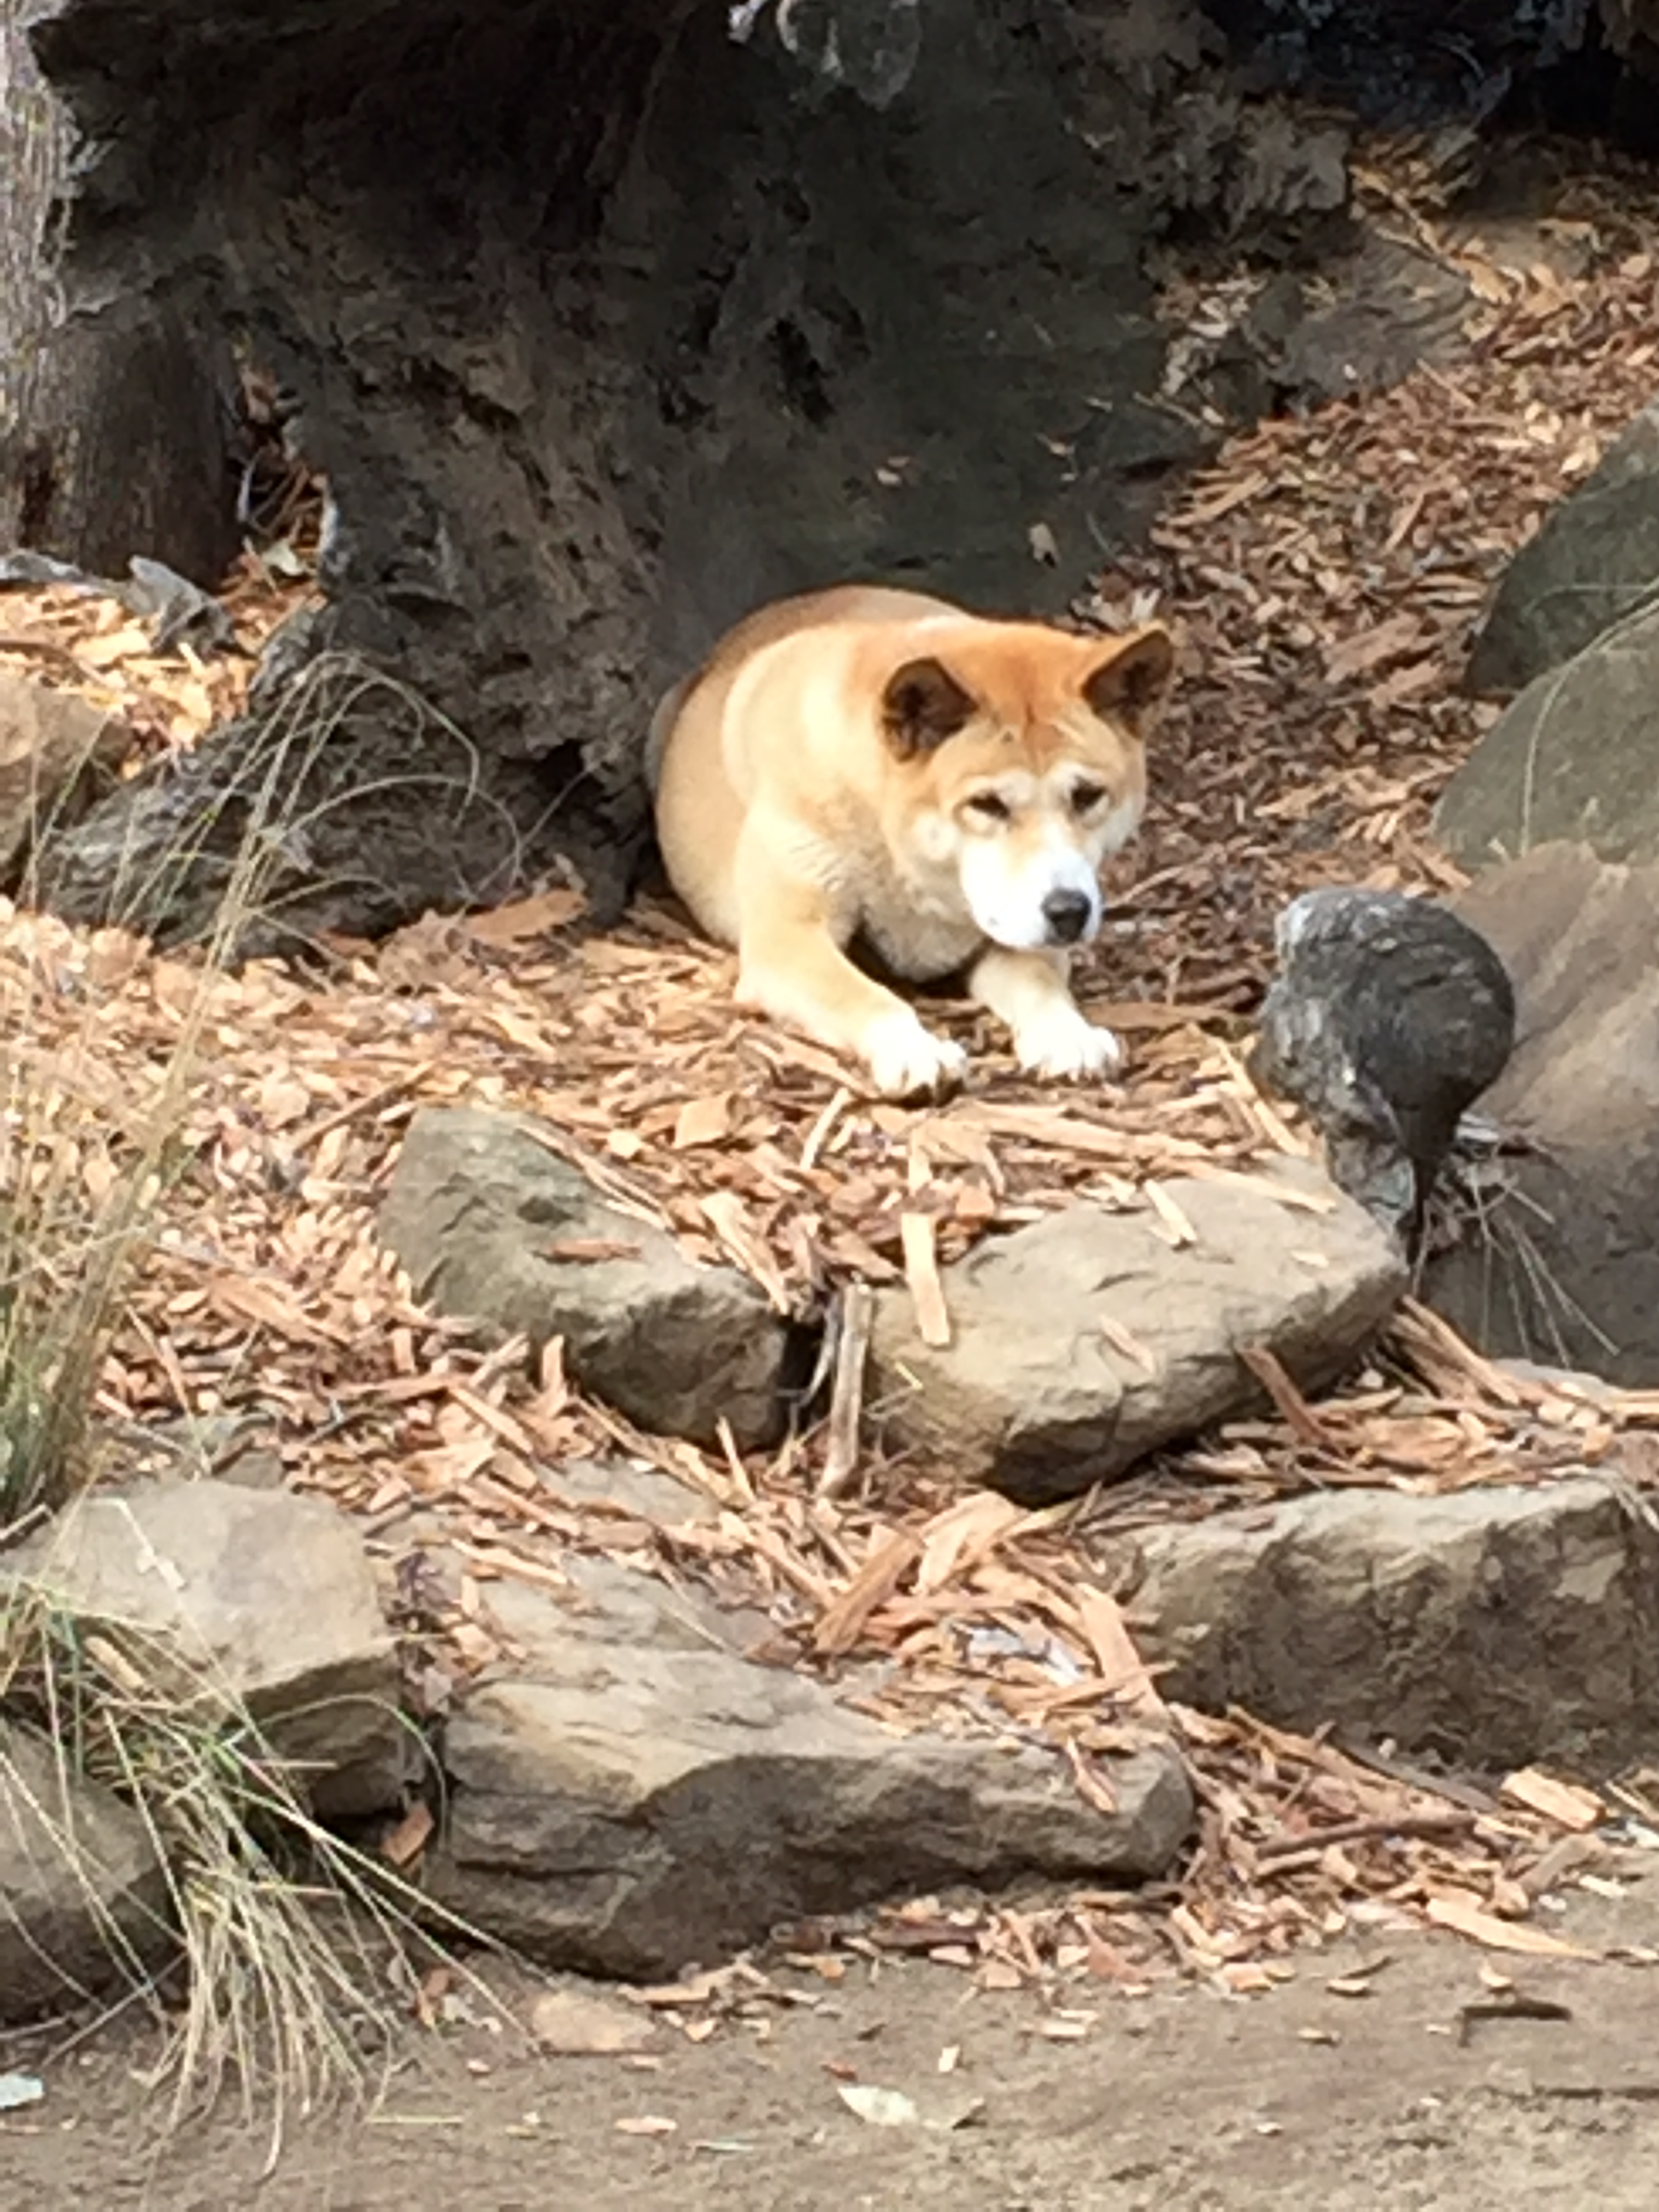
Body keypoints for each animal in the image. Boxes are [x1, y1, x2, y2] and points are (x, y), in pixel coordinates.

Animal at [649, 584, 1175, 1097]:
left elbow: (1039, 984)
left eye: (1087, 796)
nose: (1069, 910)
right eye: (987, 804)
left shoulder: (1015, 936)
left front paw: (1066, 1033)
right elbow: (864, 995)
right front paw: (911, 1047)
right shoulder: (788, 938)